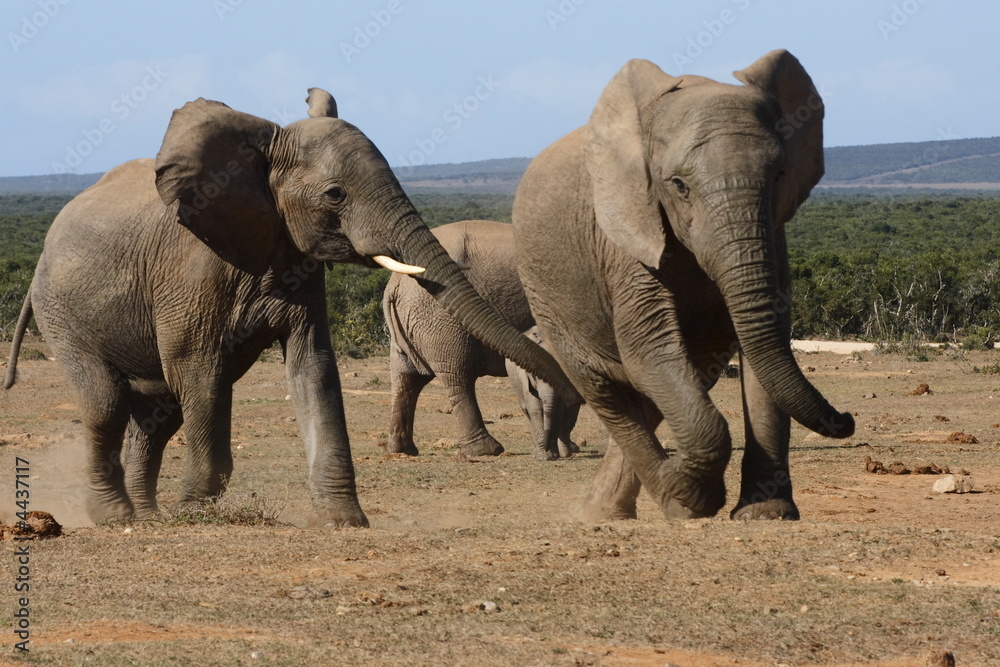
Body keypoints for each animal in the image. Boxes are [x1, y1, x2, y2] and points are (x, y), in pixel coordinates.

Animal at [505, 326, 584, 461]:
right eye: (535, 376)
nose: (547, 448)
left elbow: (558, 411)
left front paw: (553, 455)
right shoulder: (525, 377)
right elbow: (535, 408)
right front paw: (543, 457)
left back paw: (565, 452)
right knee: (527, 411)